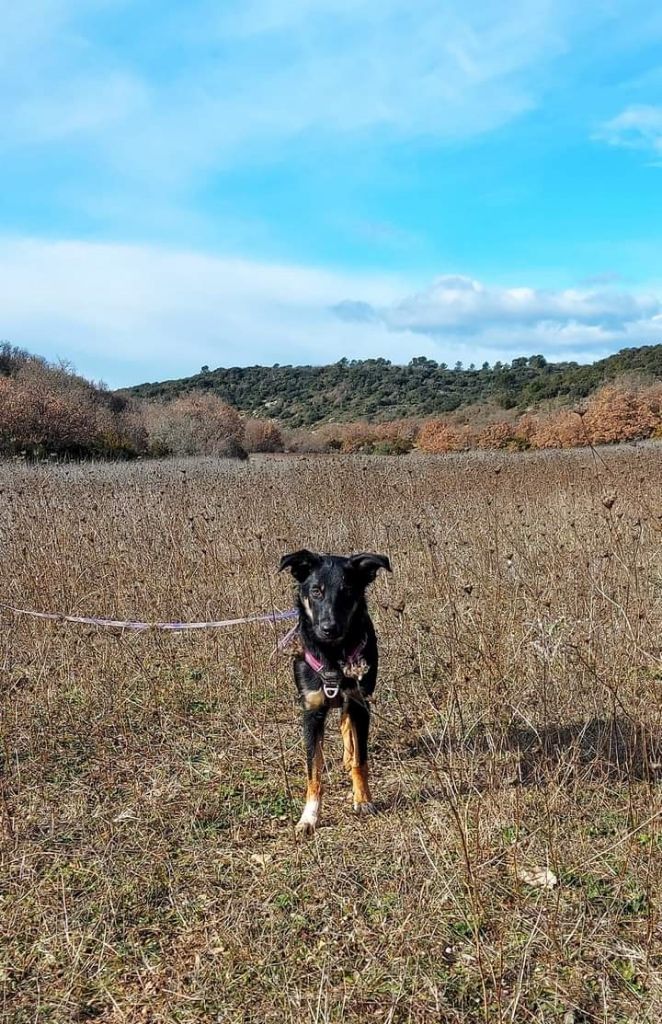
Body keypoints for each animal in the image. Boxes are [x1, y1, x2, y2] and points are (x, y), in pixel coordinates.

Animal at [278, 552, 391, 831]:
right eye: (316, 591)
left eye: (347, 591)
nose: (329, 628)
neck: (332, 654)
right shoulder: (312, 712)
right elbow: (313, 771)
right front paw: (309, 816)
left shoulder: (360, 704)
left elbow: (361, 760)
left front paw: (363, 800)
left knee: (347, 726)